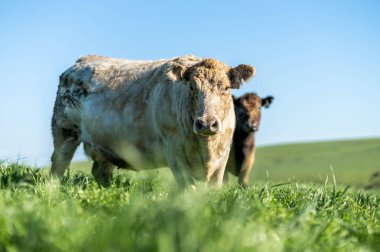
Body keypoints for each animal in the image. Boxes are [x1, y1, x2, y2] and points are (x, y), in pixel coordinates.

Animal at [50, 55, 255, 189]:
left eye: (226, 88)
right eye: (191, 87)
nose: (206, 123)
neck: (206, 148)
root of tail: (82, 61)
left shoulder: (222, 160)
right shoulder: (174, 154)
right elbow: (188, 190)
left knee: (101, 173)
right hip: (64, 132)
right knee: (58, 165)